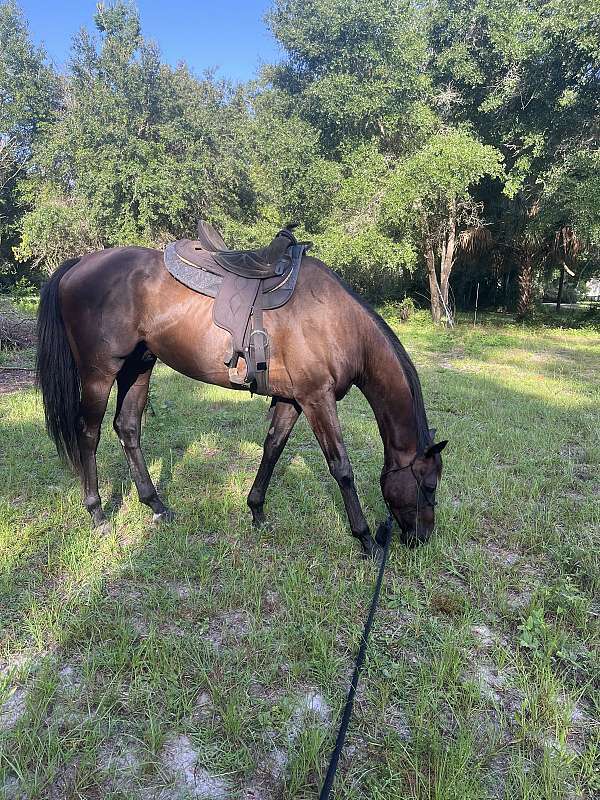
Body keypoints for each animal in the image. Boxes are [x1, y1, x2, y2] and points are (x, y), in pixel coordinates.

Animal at [36, 242, 447, 560]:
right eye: (429, 486)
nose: (422, 539)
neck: (335, 320)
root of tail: (80, 264)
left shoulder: (293, 400)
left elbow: (273, 448)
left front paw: (257, 510)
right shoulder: (317, 399)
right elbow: (341, 468)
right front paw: (365, 540)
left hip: (138, 366)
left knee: (128, 428)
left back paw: (156, 504)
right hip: (100, 373)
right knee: (89, 435)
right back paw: (98, 515)